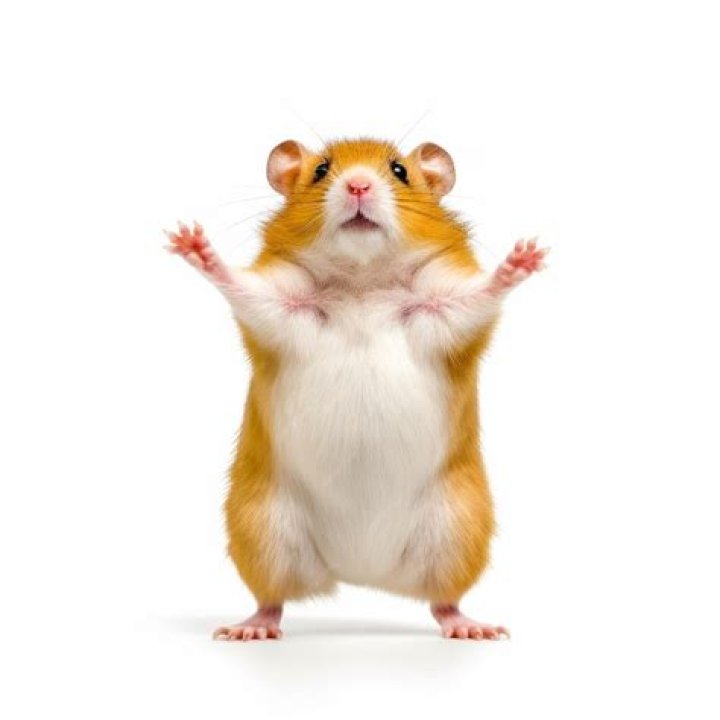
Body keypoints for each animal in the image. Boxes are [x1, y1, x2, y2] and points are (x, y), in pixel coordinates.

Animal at [166, 138, 547, 641]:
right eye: (321, 170)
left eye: (400, 170)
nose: (359, 185)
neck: (364, 279)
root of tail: (362, 571)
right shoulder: (278, 307)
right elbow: (242, 286)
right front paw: (189, 241)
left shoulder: (446, 312)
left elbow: (479, 295)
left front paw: (526, 256)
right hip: (263, 529)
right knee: (272, 599)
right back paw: (249, 629)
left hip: (456, 531)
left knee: (443, 601)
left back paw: (473, 628)